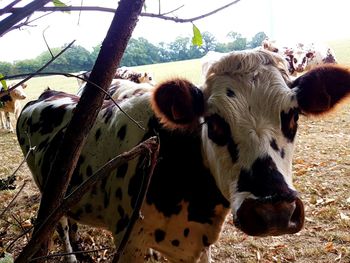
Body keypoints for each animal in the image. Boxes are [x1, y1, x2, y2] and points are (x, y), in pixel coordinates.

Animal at [16, 50, 350, 263]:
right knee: (59, 223)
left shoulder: (199, 246)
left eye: (292, 116)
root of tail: (46, 94)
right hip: (51, 187)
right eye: (213, 122)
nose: (274, 212)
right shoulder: (128, 244)